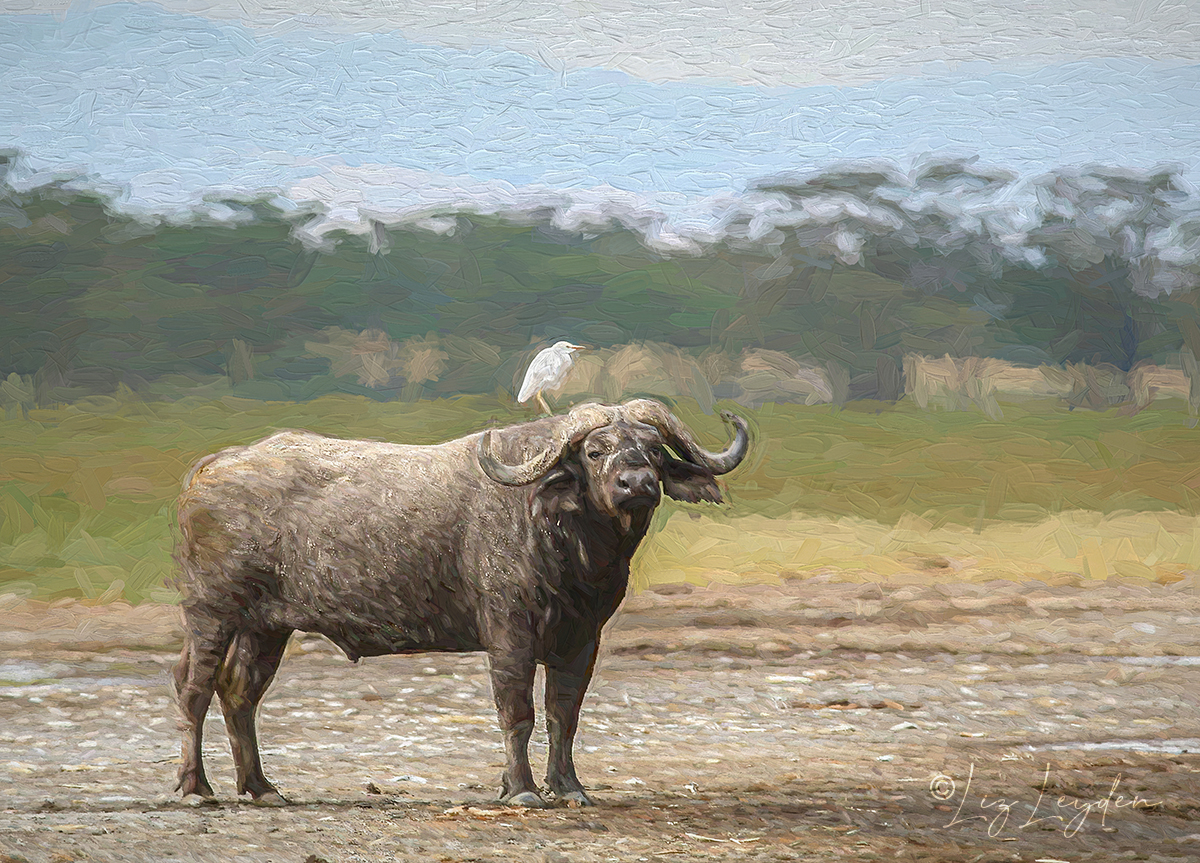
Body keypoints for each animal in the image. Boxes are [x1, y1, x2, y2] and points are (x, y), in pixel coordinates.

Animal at [171, 400, 748, 806]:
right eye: (595, 450)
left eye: (652, 449)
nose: (637, 484)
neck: (567, 541)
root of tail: (209, 467)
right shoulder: (510, 632)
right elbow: (517, 712)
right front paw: (521, 789)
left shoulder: (583, 638)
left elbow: (564, 714)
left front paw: (569, 787)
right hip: (210, 613)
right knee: (194, 688)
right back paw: (196, 788)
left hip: (266, 627)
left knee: (239, 693)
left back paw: (262, 787)